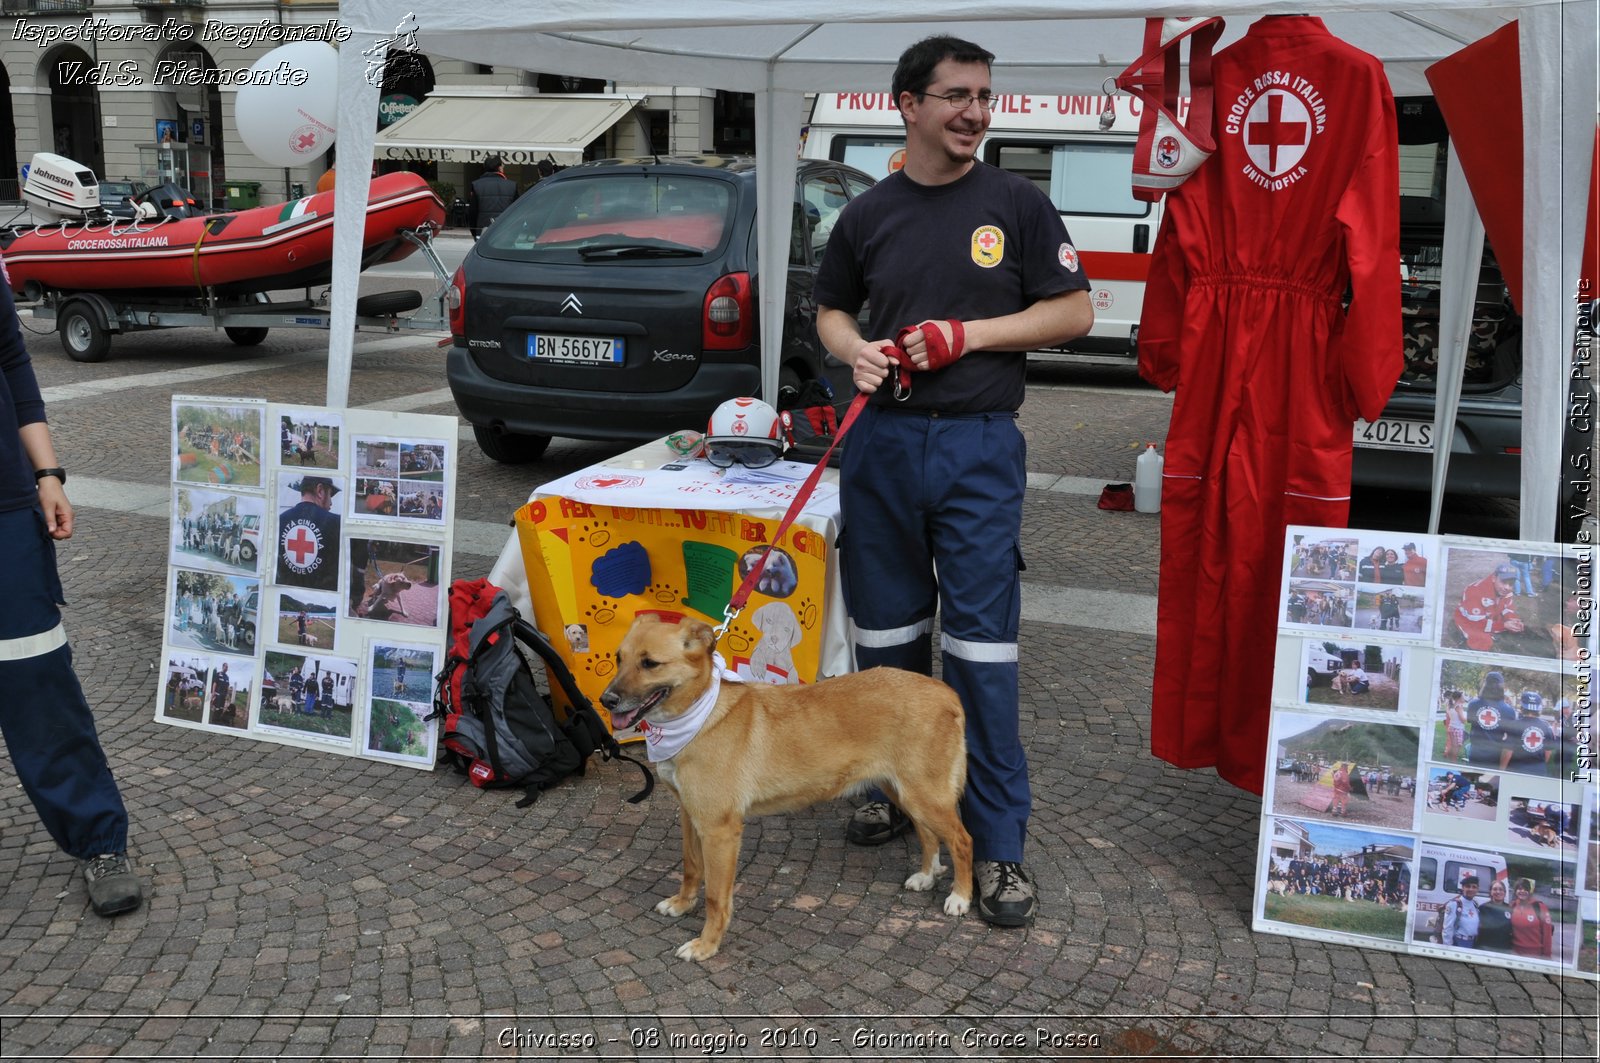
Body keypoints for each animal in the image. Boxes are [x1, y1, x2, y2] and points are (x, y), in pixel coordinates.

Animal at [601, 611, 966, 960]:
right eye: (619, 658)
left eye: (650, 663)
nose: (606, 700)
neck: (698, 716)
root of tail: (946, 692)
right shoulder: (690, 814)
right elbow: (691, 867)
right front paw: (681, 904)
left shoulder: (720, 830)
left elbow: (716, 897)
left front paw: (707, 945)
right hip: (903, 791)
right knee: (929, 834)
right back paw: (927, 874)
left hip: (924, 795)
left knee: (962, 840)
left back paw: (960, 896)